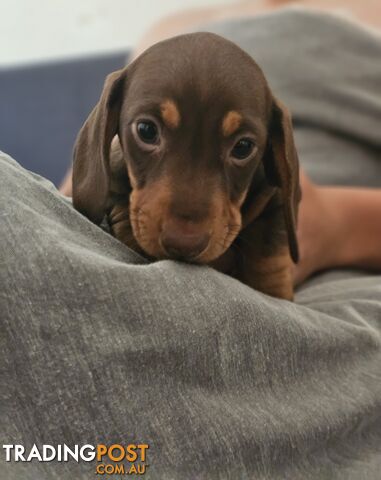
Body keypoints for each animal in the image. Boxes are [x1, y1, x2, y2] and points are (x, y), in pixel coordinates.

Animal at [72, 31, 300, 300]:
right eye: (146, 130)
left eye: (243, 147)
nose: (184, 244)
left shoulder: (273, 198)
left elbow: (268, 251)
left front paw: (271, 290)